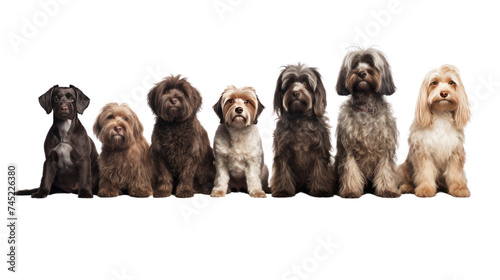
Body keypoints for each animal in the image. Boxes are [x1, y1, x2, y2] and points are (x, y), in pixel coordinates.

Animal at [334, 47, 400, 197]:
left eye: (371, 64)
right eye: (354, 65)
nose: (362, 73)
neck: (366, 108)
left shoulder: (385, 146)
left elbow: (385, 169)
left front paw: (387, 189)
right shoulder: (348, 148)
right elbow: (351, 170)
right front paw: (351, 190)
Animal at [396, 65, 470, 198]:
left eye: (451, 82)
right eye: (434, 83)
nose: (444, 93)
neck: (441, 114)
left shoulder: (455, 152)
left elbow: (455, 173)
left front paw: (458, 188)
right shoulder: (423, 151)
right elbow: (425, 172)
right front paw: (425, 188)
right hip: (404, 167)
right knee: (408, 179)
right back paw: (407, 187)